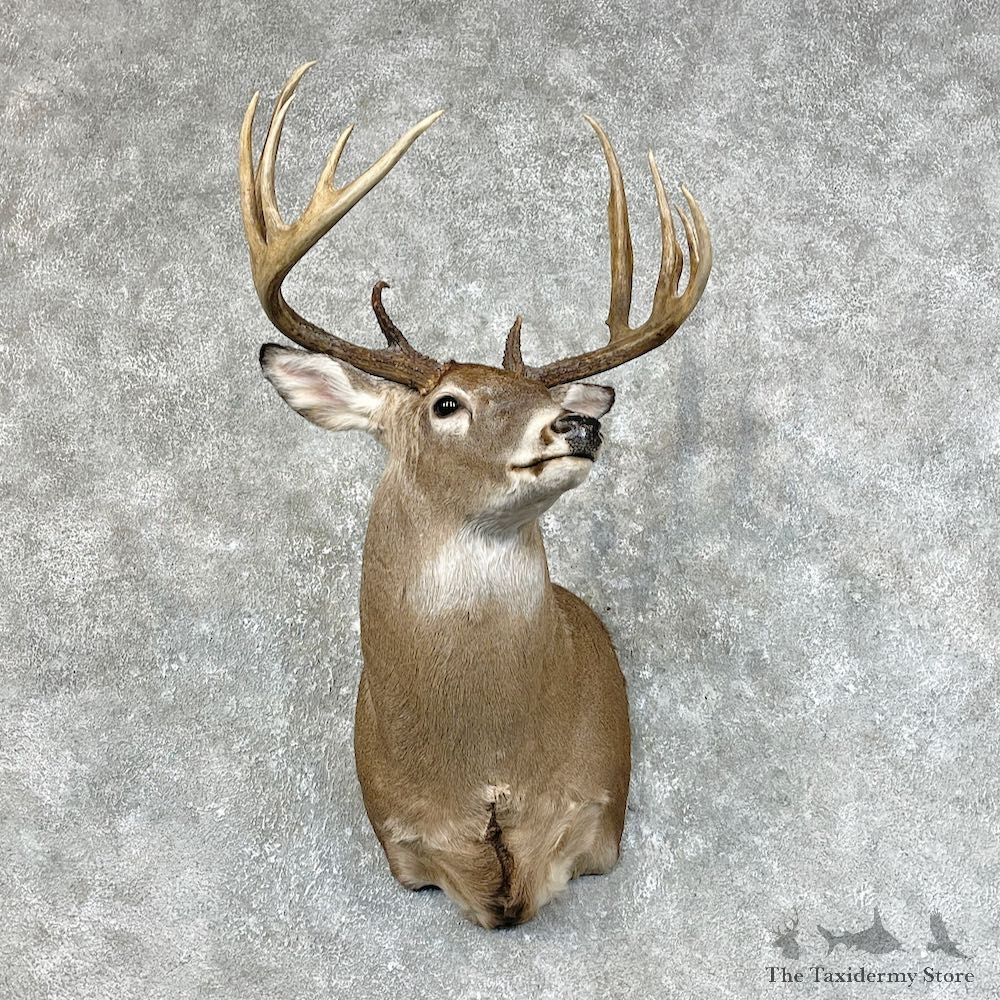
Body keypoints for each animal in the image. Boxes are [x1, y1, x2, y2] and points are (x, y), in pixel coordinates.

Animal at [239, 63, 712, 929]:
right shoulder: (403, 841)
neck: (486, 770)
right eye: (446, 403)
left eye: (540, 392)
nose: (578, 424)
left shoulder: (596, 815)